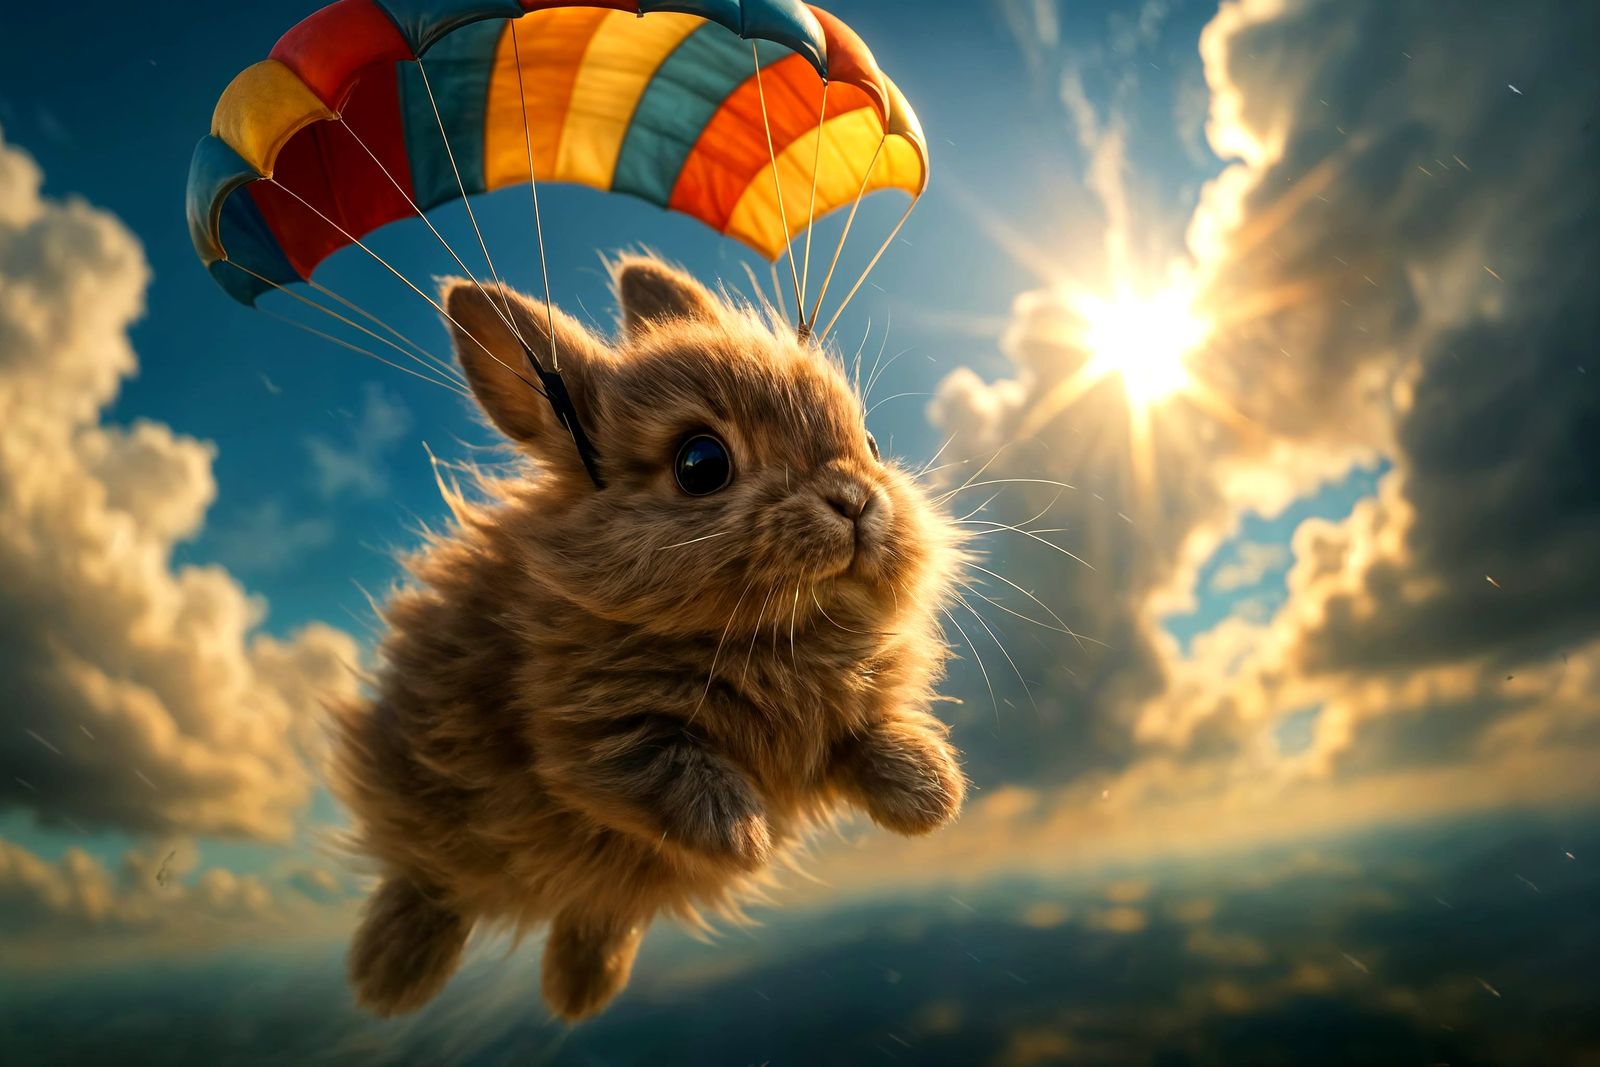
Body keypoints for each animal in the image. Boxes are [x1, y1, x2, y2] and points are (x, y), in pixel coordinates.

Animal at [331, 255, 968, 1023]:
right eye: (700, 464)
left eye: (871, 443)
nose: (854, 501)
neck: (771, 633)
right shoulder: (594, 734)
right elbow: (667, 771)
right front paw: (743, 837)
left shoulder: (850, 723)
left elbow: (877, 740)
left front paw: (931, 800)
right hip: (427, 819)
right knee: (428, 883)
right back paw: (388, 983)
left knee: (594, 913)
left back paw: (578, 992)